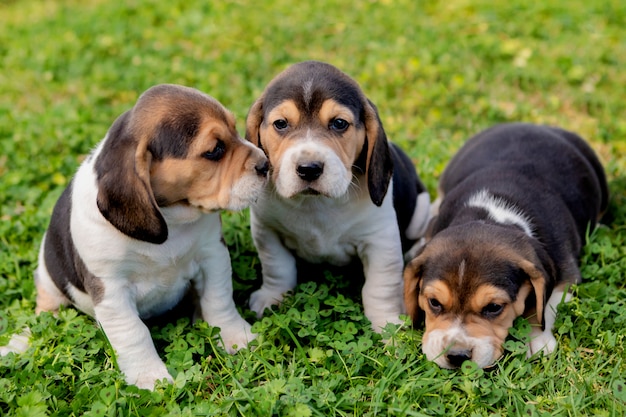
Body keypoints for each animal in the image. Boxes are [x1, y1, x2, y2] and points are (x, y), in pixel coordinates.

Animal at [244, 61, 428, 332]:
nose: (309, 168)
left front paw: (386, 325)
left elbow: (379, 287)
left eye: (339, 123)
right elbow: (277, 267)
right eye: (280, 124)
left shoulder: (380, 240)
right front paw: (271, 297)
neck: (316, 203)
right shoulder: (267, 231)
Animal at [402, 122, 608, 368]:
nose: (458, 356)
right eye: (434, 302)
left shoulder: (566, 274)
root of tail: (536, 125)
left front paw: (535, 337)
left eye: (493, 308)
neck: (491, 214)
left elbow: (544, 305)